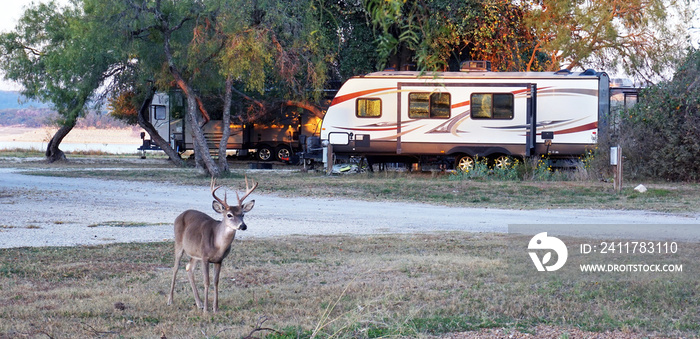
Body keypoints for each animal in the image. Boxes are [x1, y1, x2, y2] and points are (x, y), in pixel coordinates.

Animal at [167, 178, 258, 314]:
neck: (217, 245)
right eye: (229, 215)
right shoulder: (205, 258)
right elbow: (206, 281)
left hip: (195, 253)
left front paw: (215, 308)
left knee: (189, 267)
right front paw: (206, 309)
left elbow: (216, 282)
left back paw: (199, 303)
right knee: (175, 268)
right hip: (179, 243)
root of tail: (181, 214)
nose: (243, 226)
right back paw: (170, 300)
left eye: (243, 214)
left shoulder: (219, 260)